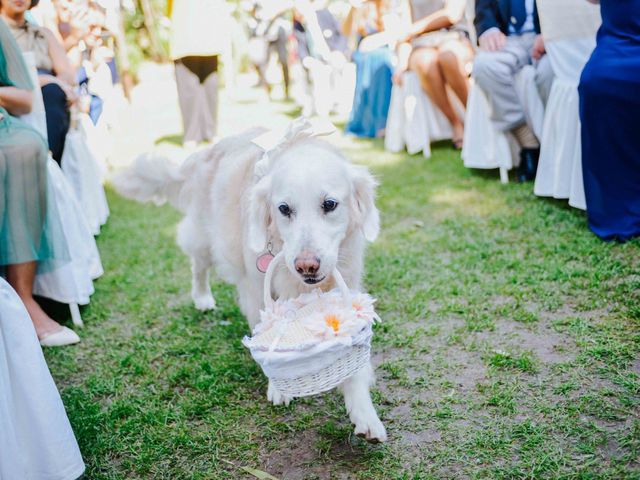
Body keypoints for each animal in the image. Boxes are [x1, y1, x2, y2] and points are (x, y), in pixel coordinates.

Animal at [113, 123, 388, 442]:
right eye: (284, 209)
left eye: (330, 204)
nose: (306, 265)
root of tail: (206, 152)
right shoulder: (256, 290)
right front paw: (279, 387)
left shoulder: (347, 283)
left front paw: (365, 414)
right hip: (205, 239)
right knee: (198, 266)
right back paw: (202, 297)